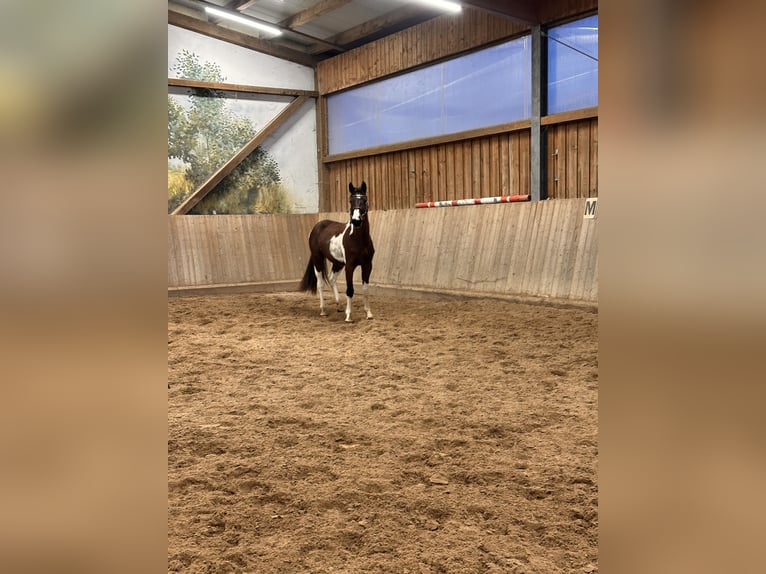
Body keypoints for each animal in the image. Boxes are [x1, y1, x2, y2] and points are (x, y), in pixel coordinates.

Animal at [299, 181, 375, 322]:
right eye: (351, 200)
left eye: (364, 200)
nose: (356, 221)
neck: (358, 240)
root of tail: (317, 226)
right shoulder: (349, 266)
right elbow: (350, 290)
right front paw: (349, 316)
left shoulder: (367, 265)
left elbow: (366, 289)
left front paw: (368, 313)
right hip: (318, 259)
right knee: (320, 283)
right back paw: (323, 310)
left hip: (338, 263)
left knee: (332, 278)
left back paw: (339, 305)